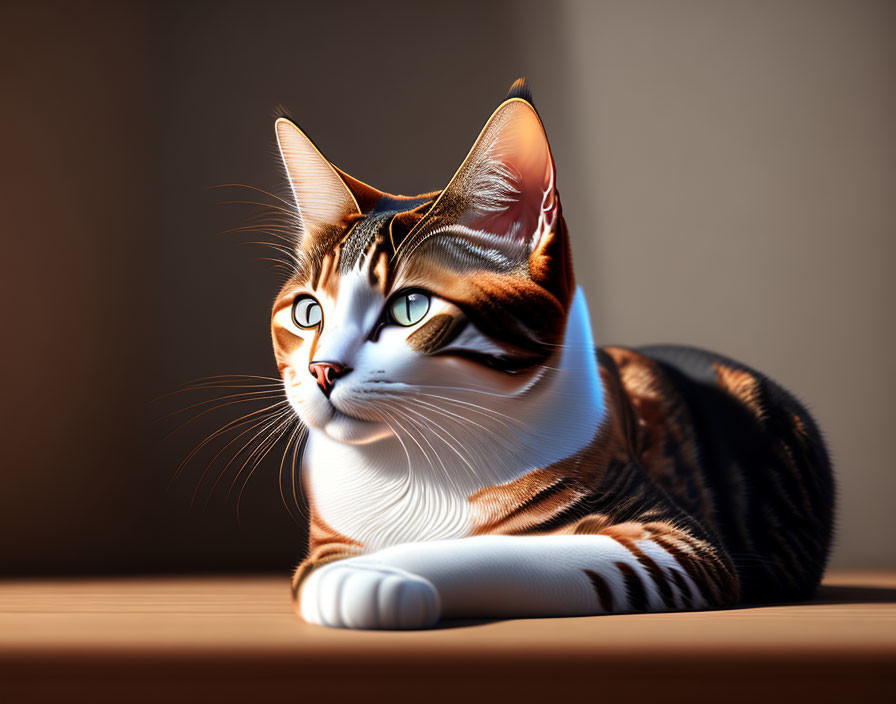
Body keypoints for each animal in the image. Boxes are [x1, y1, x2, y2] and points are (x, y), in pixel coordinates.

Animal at [266, 80, 832, 628]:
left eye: (410, 307)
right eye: (308, 313)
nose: (322, 370)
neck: (414, 464)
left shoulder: (676, 543)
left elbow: (501, 551)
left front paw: (369, 576)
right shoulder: (329, 538)